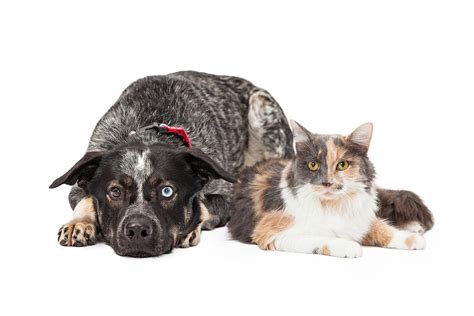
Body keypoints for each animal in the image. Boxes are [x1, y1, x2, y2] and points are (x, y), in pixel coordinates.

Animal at [49, 71, 292, 256]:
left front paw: (189, 227)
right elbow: (86, 200)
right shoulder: (78, 187)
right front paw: (79, 223)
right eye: (115, 191)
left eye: (167, 191)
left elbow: (203, 204)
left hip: (262, 104)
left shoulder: (228, 197)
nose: (137, 231)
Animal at [228, 120, 432, 256]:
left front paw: (410, 239)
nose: (327, 183)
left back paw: (415, 227)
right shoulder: (271, 233)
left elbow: (382, 227)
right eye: (313, 165)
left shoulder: (359, 218)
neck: (332, 205)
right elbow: (322, 237)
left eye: (342, 165)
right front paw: (349, 246)